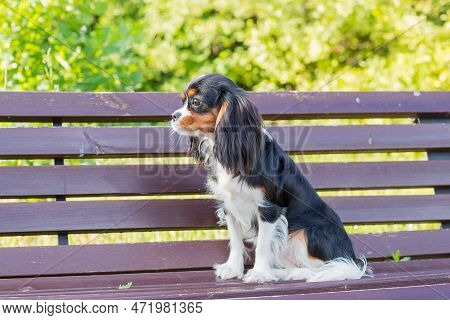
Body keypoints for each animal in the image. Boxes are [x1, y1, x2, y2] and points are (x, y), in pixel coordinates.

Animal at [171, 73, 370, 282]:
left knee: (326, 267)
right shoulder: (229, 206)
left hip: (306, 234)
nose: (173, 116)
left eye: (195, 102)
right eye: (182, 101)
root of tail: (352, 258)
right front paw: (233, 269)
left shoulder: (269, 209)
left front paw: (259, 273)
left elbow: (262, 247)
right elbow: (236, 241)